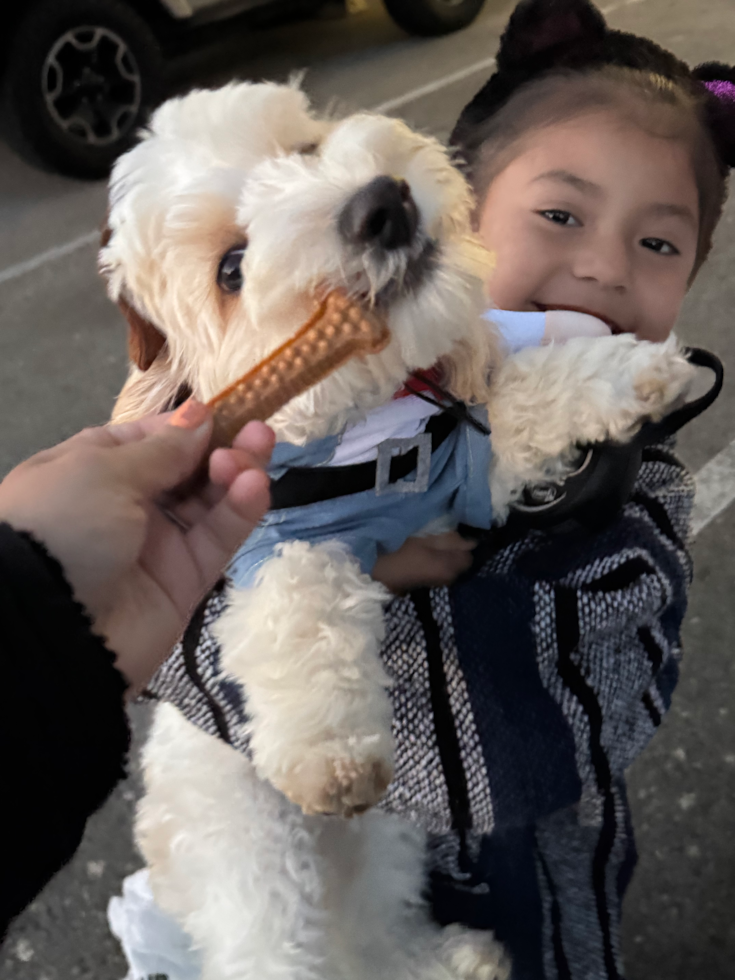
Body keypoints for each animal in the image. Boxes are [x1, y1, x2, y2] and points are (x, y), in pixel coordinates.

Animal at [99, 80, 696, 976]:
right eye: (230, 268)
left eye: (304, 147)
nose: (378, 207)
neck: (379, 426)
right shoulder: (267, 538)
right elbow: (298, 601)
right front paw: (328, 748)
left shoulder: (466, 463)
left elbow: (532, 394)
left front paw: (637, 369)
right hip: (247, 851)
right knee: (274, 945)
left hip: (387, 848)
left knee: (374, 923)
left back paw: (448, 959)